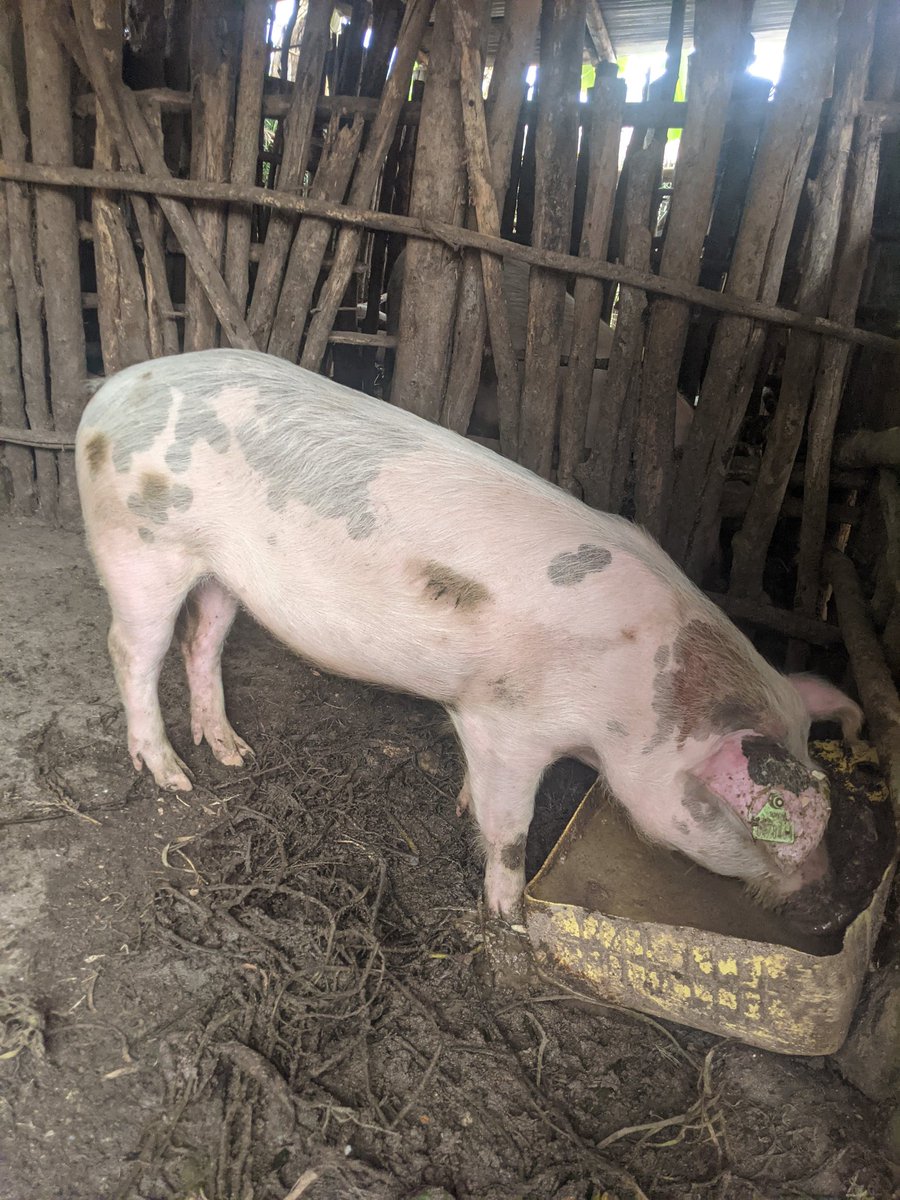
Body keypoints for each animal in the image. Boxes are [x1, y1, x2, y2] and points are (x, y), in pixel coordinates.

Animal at [76, 349, 863, 935]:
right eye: (769, 829)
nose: (834, 911)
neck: (642, 700)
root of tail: (112, 390)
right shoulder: (508, 721)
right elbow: (510, 826)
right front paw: (510, 919)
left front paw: (459, 806)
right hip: (137, 544)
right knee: (131, 652)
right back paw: (174, 776)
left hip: (219, 570)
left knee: (202, 640)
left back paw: (233, 754)